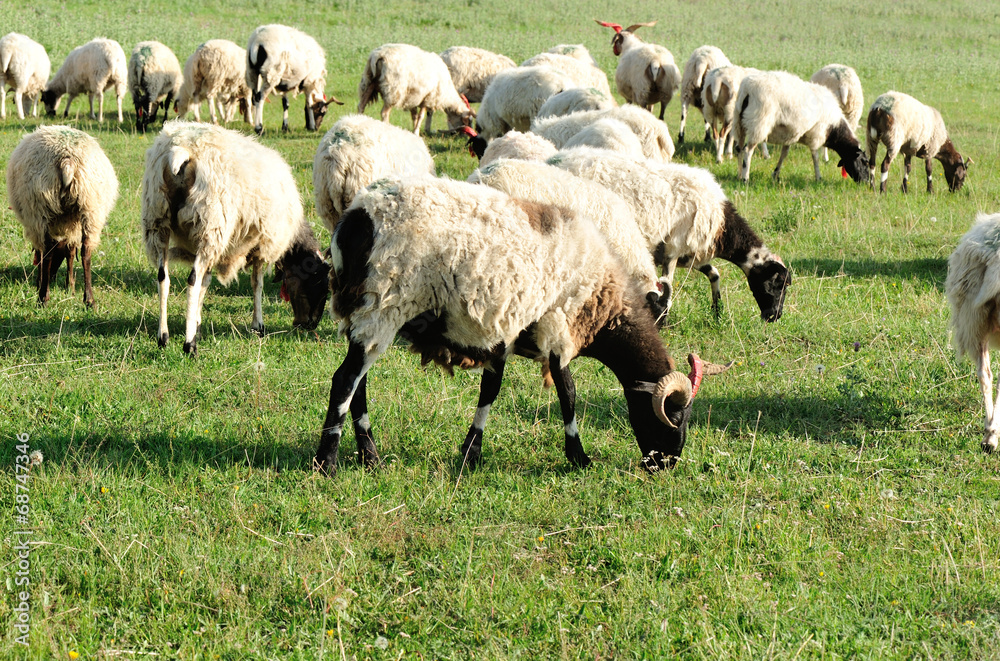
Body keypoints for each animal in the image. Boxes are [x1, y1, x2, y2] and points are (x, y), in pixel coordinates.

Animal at [6, 125, 118, 308]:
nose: (50, 276)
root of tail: (67, 161)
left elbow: (56, 253)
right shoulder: (73, 226)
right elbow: (71, 252)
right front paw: (70, 287)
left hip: (39, 207)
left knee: (47, 251)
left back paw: (43, 297)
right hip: (91, 209)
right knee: (86, 252)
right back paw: (89, 300)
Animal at [141, 121, 330, 356]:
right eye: (317, 282)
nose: (310, 325)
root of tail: (181, 150)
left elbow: (206, 283)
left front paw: (197, 324)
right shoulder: (263, 245)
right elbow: (257, 284)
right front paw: (258, 326)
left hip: (158, 220)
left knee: (163, 278)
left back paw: (163, 337)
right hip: (210, 222)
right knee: (192, 281)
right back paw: (189, 345)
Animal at [316, 174, 730, 475]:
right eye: (674, 415)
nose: (667, 464)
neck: (601, 300)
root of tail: (354, 220)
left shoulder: (504, 331)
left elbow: (491, 389)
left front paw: (471, 452)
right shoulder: (556, 328)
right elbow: (568, 392)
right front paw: (578, 456)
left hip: (367, 314)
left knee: (358, 385)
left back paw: (370, 457)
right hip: (383, 306)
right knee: (345, 381)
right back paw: (327, 463)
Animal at [548, 147, 791, 321]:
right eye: (777, 284)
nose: (775, 316)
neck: (722, 225)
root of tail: (556, 159)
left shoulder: (689, 255)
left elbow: (714, 274)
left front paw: (717, 311)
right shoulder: (672, 250)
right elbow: (668, 289)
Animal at [735, 70, 870, 184]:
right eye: (864, 162)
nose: (866, 182)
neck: (834, 127)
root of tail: (747, 88)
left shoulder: (790, 135)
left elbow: (784, 154)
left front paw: (776, 174)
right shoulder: (816, 134)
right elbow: (815, 157)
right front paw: (818, 177)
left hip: (739, 122)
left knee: (739, 148)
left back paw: (739, 175)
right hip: (759, 123)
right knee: (747, 150)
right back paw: (745, 178)